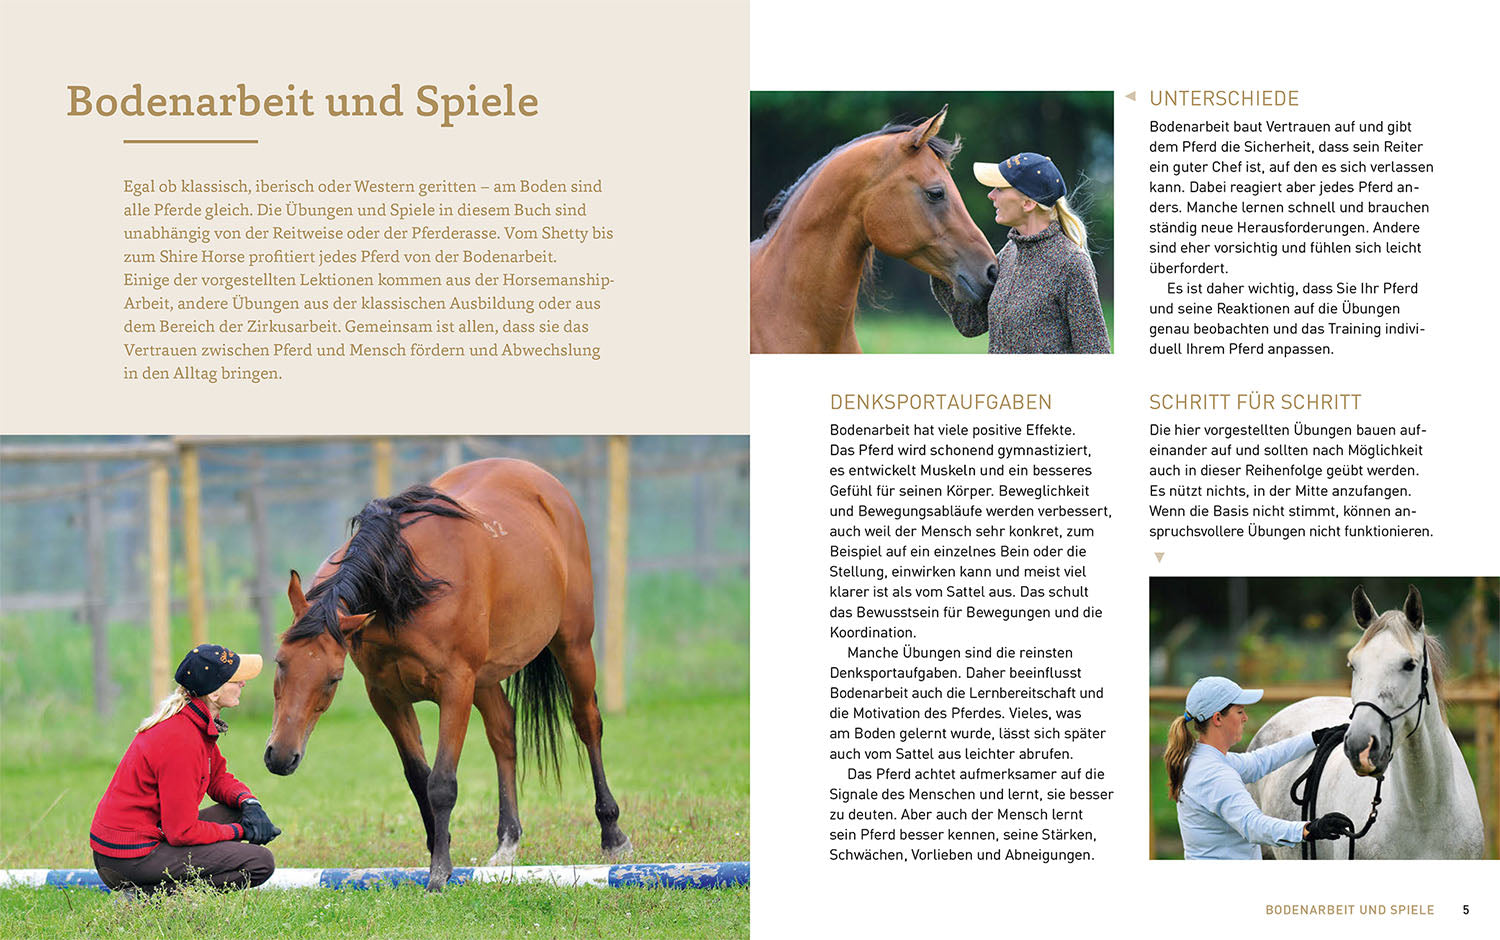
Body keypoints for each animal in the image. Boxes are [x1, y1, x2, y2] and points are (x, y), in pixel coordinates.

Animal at [263, 458, 630, 890]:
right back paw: (507, 843)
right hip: (486, 676)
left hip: (573, 645)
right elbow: (417, 776)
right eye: (279, 662)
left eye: (333, 678)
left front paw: (439, 872)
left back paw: (612, 835)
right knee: (503, 733)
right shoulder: (386, 696)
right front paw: (440, 849)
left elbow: (441, 782)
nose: (280, 756)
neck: (402, 585)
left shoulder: (456, 688)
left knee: (587, 723)